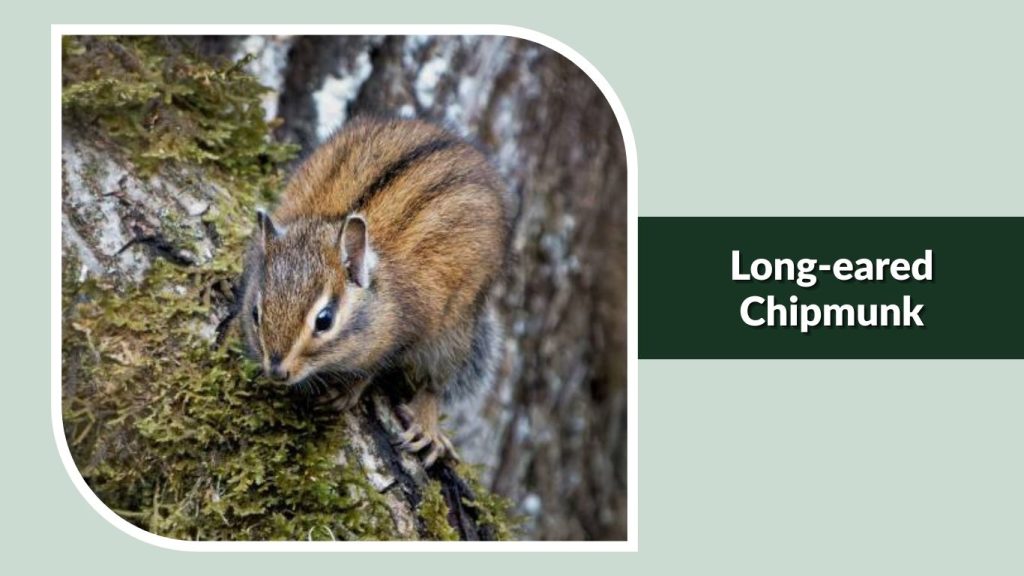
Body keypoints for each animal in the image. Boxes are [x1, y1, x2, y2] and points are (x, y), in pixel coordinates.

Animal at [238, 118, 511, 467]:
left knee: (438, 379)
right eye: (255, 313)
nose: (276, 371)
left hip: (459, 326)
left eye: (324, 320)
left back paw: (426, 424)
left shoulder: (410, 329)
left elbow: (378, 366)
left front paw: (351, 387)